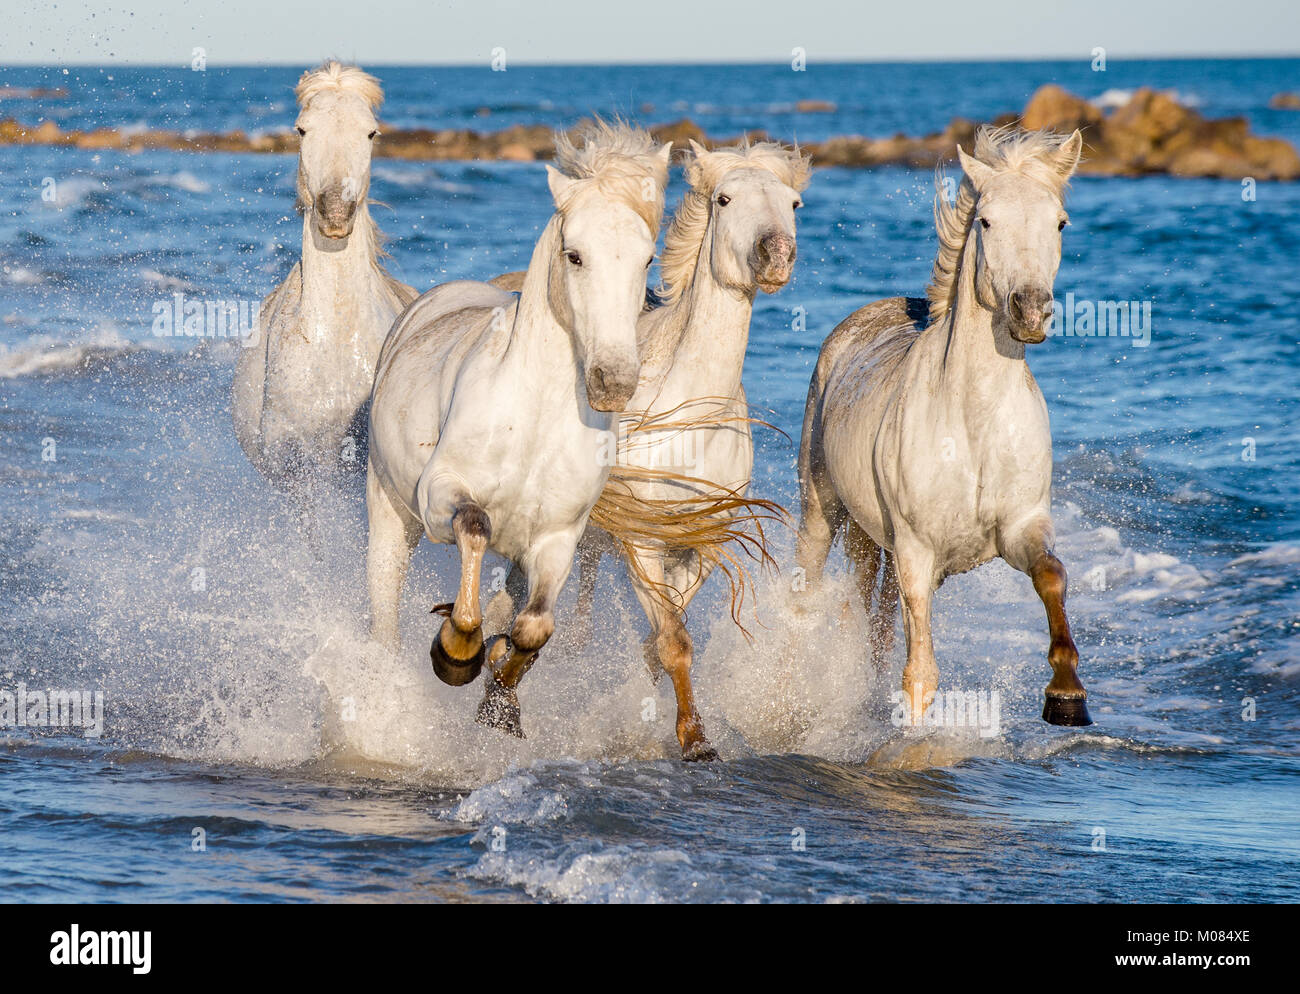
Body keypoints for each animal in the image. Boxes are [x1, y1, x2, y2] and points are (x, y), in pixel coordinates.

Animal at [365, 121, 671, 740]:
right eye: (574, 255)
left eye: (647, 258)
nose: (612, 380)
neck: (533, 421)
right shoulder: (440, 496)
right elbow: (475, 524)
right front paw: (455, 651)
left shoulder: (556, 537)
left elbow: (535, 626)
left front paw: (499, 700)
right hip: (389, 512)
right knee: (384, 613)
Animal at [571, 139, 809, 761]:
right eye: (724, 198)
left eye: (793, 202)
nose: (777, 256)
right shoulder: (642, 540)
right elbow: (673, 639)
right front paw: (696, 742)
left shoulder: (701, 543)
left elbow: (666, 633)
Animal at [795, 125, 1092, 728]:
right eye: (987, 221)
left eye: (1060, 222)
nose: (1030, 311)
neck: (972, 428)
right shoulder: (916, 550)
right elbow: (920, 676)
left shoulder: (1020, 527)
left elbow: (1051, 575)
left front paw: (1066, 694)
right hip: (823, 510)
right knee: (810, 593)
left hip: (874, 542)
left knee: (874, 620)